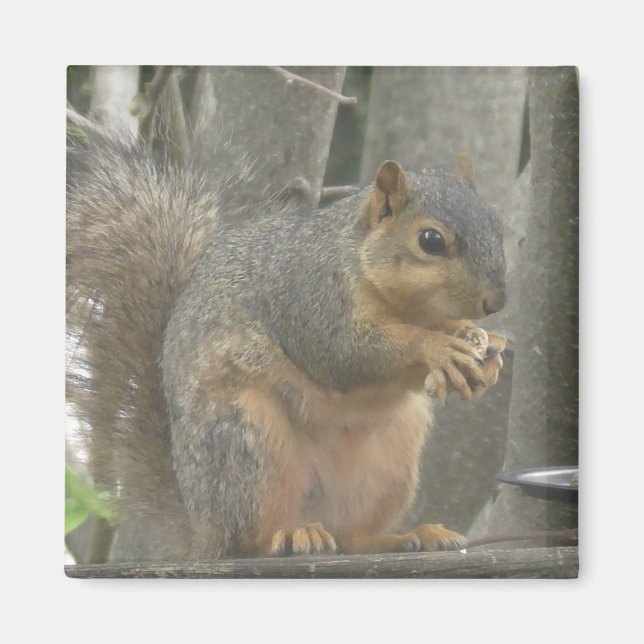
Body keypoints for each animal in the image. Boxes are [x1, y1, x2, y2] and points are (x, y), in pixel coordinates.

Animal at [66, 130, 507, 562]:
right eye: (430, 240)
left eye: (498, 224)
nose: (497, 302)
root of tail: (200, 529)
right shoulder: (308, 297)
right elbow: (344, 353)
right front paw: (437, 347)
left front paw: (488, 353)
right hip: (248, 442)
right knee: (245, 540)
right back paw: (291, 536)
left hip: (393, 456)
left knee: (353, 539)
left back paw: (407, 536)